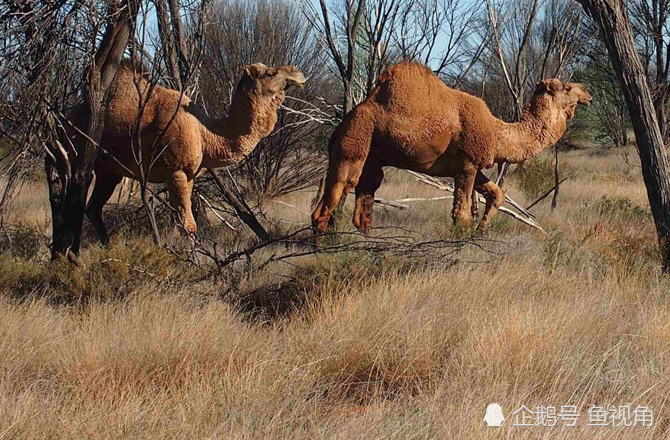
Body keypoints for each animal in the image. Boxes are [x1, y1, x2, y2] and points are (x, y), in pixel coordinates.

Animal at [72, 59, 306, 244]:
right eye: (270, 73)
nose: (297, 71)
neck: (206, 134)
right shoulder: (175, 170)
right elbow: (188, 224)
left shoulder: (190, 175)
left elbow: (180, 221)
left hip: (109, 172)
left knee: (93, 207)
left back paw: (106, 245)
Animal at [314, 62, 592, 234]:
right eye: (567, 87)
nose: (587, 92)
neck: (497, 132)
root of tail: (341, 124)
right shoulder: (467, 165)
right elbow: (462, 216)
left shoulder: (472, 166)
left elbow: (496, 195)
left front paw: (481, 231)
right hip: (352, 147)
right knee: (326, 206)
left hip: (372, 161)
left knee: (362, 212)